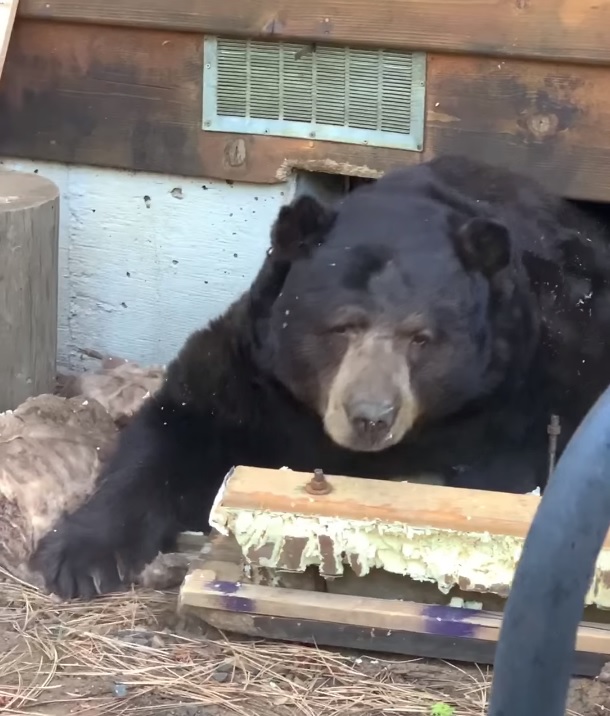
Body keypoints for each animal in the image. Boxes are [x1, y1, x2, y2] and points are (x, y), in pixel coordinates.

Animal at [32, 155, 610, 600]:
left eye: (421, 338)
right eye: (342, 325)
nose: (371, 417)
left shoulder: (509, 399)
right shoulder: (254, 374)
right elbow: (175, 427)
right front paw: (77, 555)